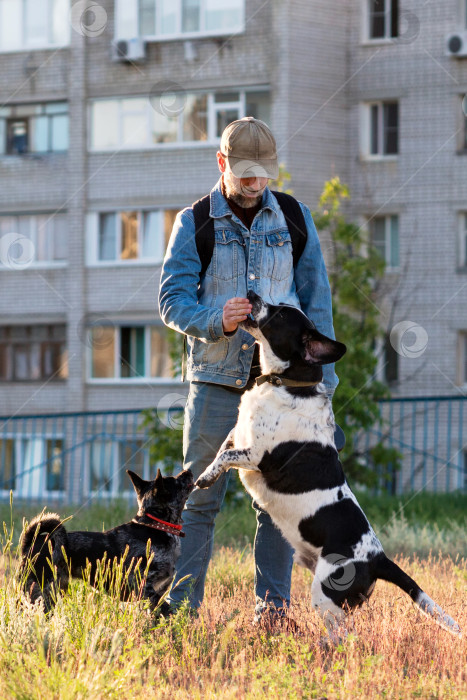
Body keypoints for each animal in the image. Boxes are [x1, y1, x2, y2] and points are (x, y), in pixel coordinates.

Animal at [20, 470, 194, 612]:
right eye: (175, 480)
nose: (188, 471)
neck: (155, 526)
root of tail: (32, 542)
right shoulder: (141, 586)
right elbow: (166, 610)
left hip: (51, 594)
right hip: (36, 593)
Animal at [196, 290, 462, 640]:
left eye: (282, 314)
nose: (252, 293)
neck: (285, 383)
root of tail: (378, 559)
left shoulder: (257, 456)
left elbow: (226, 458)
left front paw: (203, 479)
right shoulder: (237, 436)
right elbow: (221, 452)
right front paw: (205, 473)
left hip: (325, 595)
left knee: (344, 638)